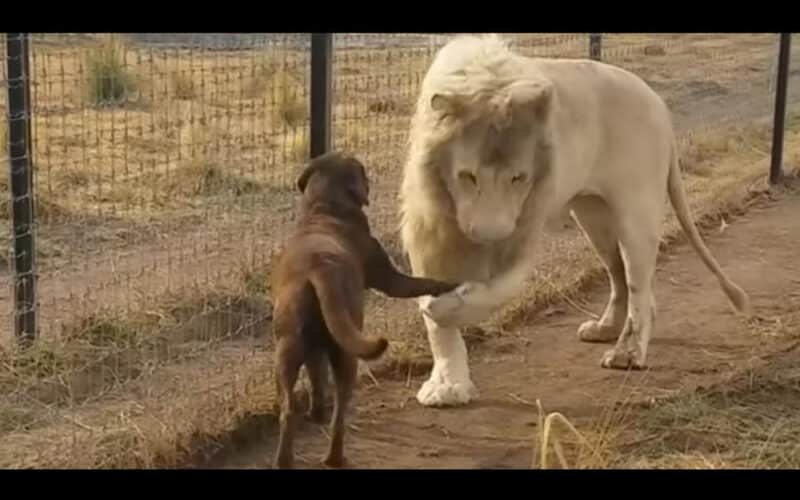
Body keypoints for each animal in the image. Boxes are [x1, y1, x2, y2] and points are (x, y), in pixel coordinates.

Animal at [268, 151, 456, 468]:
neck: (325, 209)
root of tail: (319, 269)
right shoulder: (391, 280)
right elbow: (421, 282)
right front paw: (451, 283)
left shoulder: (314, 351)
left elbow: (316, 379)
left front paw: (315, 412)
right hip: (347, 355)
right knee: (339, 414)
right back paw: (335, 457)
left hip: (288, 350)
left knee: (288, 410)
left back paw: (286, 457)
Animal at [398, 36, 752, 410]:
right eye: (468, 176)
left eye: (518, 178)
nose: (489, 234)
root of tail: (658, 103)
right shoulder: (431, 228)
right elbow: (440, 328)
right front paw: (447, 386)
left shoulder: (523, 225)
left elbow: (491, 292)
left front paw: (442, 308)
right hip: (593, 216)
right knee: (620, 276)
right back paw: (605, 330)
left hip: (636, 213)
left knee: (639, 286)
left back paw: (627, 353)